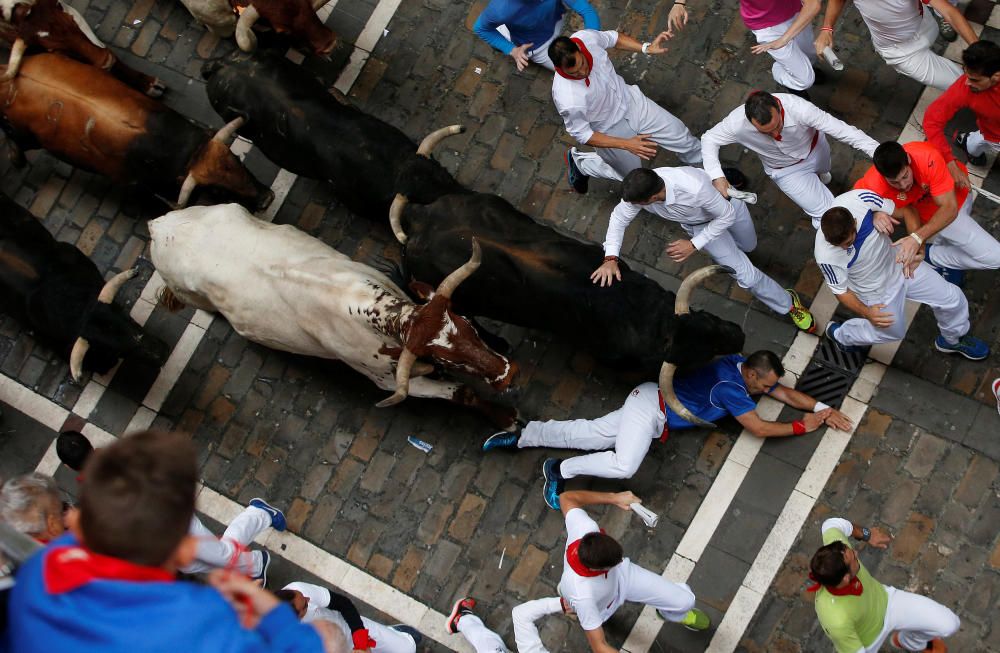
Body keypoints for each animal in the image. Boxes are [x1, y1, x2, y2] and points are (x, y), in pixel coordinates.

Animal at [0, 55, 274, 211]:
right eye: (217, 191)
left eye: (236, 159)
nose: (266, 199)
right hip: (24, 135)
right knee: (16, 143)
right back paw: (17, 159)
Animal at [152, 204, 520, 418]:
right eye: (444, 356)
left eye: (467, 325)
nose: (508, 373)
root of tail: (159, 224)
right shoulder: (385, 382)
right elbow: (460, 392)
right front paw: (506, 418)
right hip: (188, 293)